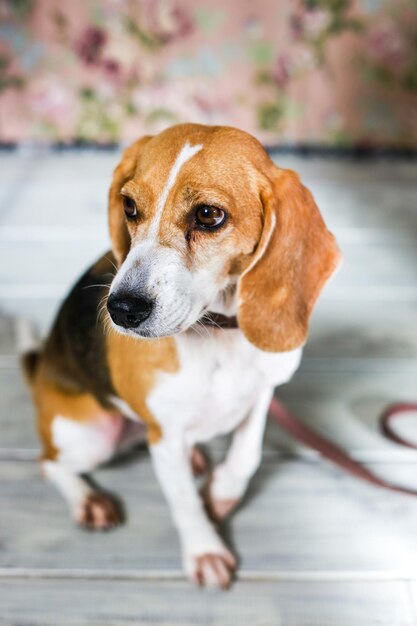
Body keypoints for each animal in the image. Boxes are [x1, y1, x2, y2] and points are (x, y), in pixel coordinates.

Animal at [22, 124, 340, 588]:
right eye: (130, 206)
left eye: (208, 215)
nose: (121, 309)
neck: (219, 336)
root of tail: (41, 365)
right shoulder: (166, 435)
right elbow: (184, 502)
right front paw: (204, 549)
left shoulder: (263, 391)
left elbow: (247, 454)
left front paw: (221, 493)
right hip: (90, 434)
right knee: (50, 463)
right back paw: (88, 500)